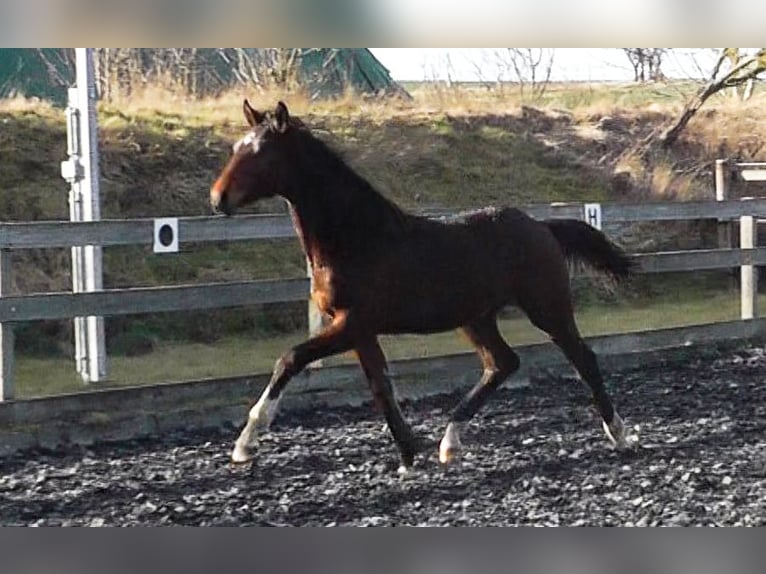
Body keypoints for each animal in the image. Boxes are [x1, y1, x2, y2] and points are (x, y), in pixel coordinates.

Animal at [212, 101, 636, 474]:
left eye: (262, 154)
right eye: (235, 149)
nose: (218, 199)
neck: (357, 239)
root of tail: (543, 226)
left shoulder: (351, 323)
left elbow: (290, 358)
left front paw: (245, 444)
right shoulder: (360, 331)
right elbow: (380, 387)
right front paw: (408, 456)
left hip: (547, 307)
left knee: (583, 359)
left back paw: (618, 433)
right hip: (476, 318)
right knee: (502, 363)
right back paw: (449, 443)